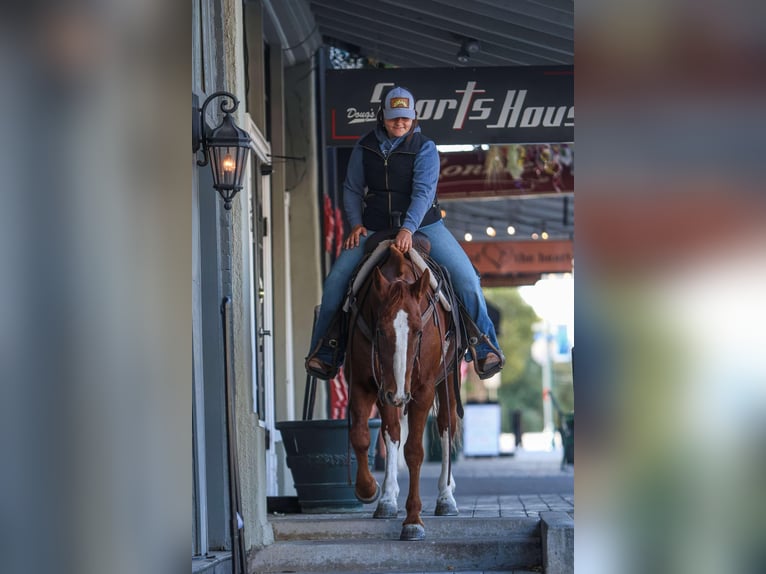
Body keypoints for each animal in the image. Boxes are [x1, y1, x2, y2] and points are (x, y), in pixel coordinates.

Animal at [345, 239, 463, 541]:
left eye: (419, 331)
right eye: (380, 330)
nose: (398, 394)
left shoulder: (422, 391)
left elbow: (414, 452)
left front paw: (413, 521)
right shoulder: (364, 383)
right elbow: (364, 435)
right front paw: (370, 490)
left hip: (445, 380)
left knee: (445, 427)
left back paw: (446, 497)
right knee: (393, 433)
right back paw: (388, 497)